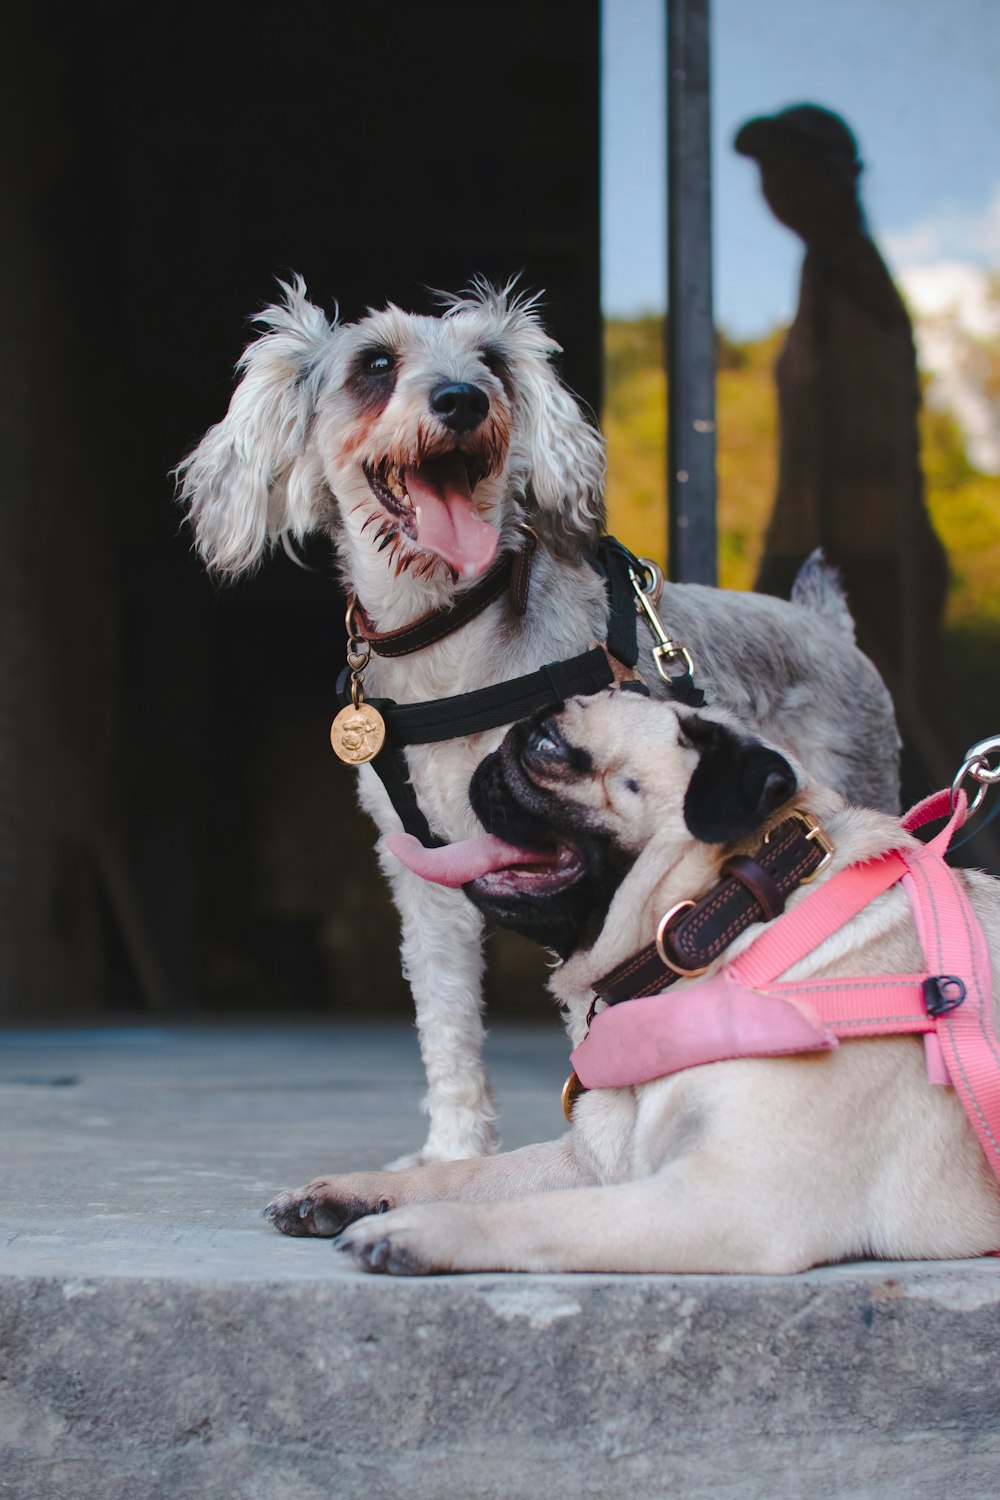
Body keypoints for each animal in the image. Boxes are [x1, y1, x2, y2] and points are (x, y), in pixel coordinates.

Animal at [177, 283, 899, 1170]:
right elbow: (447, 1025)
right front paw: (454, 1153)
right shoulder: (428, 879)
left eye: (490, 360)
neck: (447, 633)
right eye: (374, 363)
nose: (464, 399)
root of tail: (827, 625)